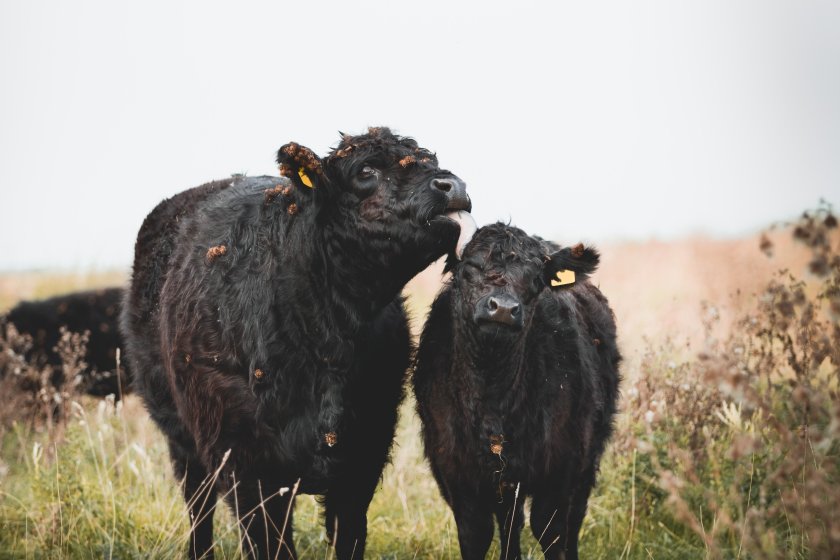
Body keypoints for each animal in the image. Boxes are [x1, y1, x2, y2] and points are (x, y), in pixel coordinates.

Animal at [119, 128, 476, 560]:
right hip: (182, 439)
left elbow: (347, 536)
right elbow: (269, 543)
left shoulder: (364, 453)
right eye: (366, 170)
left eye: (430, 160)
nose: (452, 185)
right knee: (198, 506)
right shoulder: (246, 465)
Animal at [416, 224, 620, 560]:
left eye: (536, 279)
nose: (502, 309)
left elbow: (551, 531)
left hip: (588, 456)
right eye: (469, 268)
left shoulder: (560, 467)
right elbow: (477, 535)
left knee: (573, 518)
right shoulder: (457, 474)